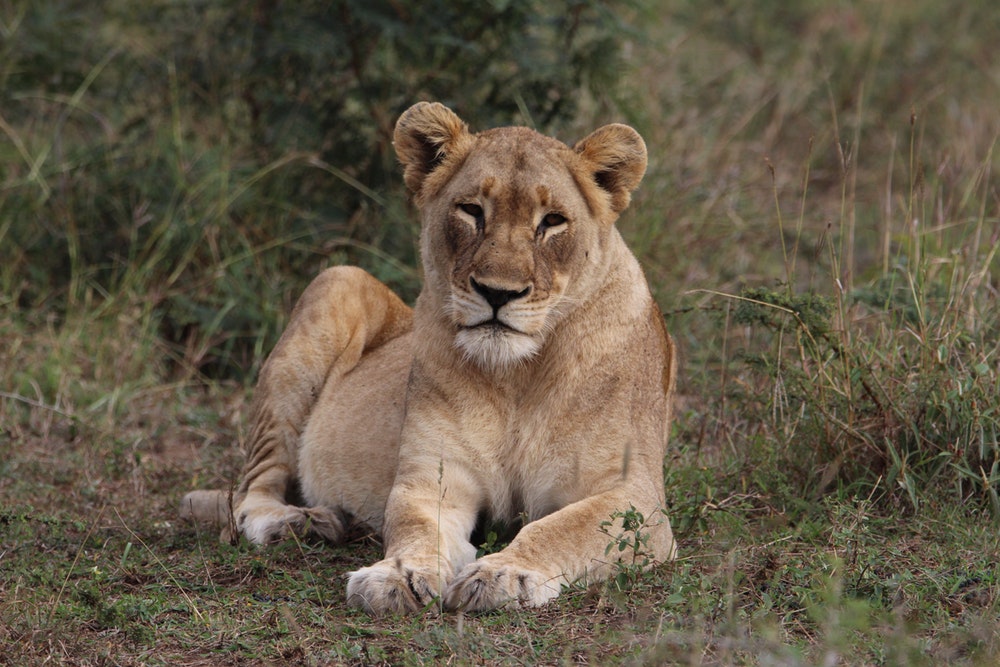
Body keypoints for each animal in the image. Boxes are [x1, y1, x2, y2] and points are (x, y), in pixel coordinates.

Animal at [182, 101, 677, 614]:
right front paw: (398, 575)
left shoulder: (635, 499)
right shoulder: (431, 479)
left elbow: (561, 528)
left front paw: (504, 572)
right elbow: (415, 528)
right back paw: (296, 523)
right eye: (472, 210)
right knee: (249, 494)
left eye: (553, 221)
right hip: (336, 282)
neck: (517, 376)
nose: (498, 293)